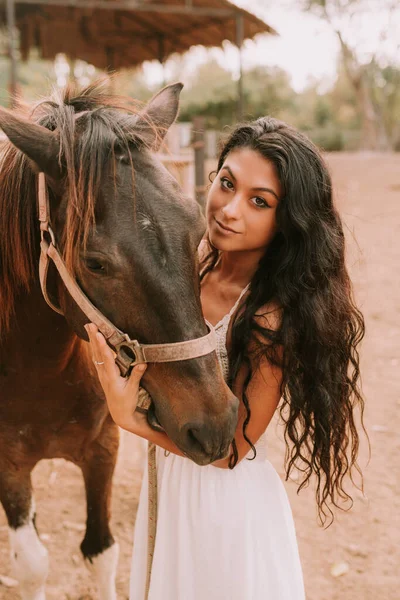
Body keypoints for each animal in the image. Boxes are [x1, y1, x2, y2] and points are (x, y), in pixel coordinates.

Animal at [0, 81, 238, 600]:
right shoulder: (8, 466)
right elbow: (33, 566)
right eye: (95, 262)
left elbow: (101, 552)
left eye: (198, 229)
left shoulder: (103, 448)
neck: (39, 368)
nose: (214, 422)